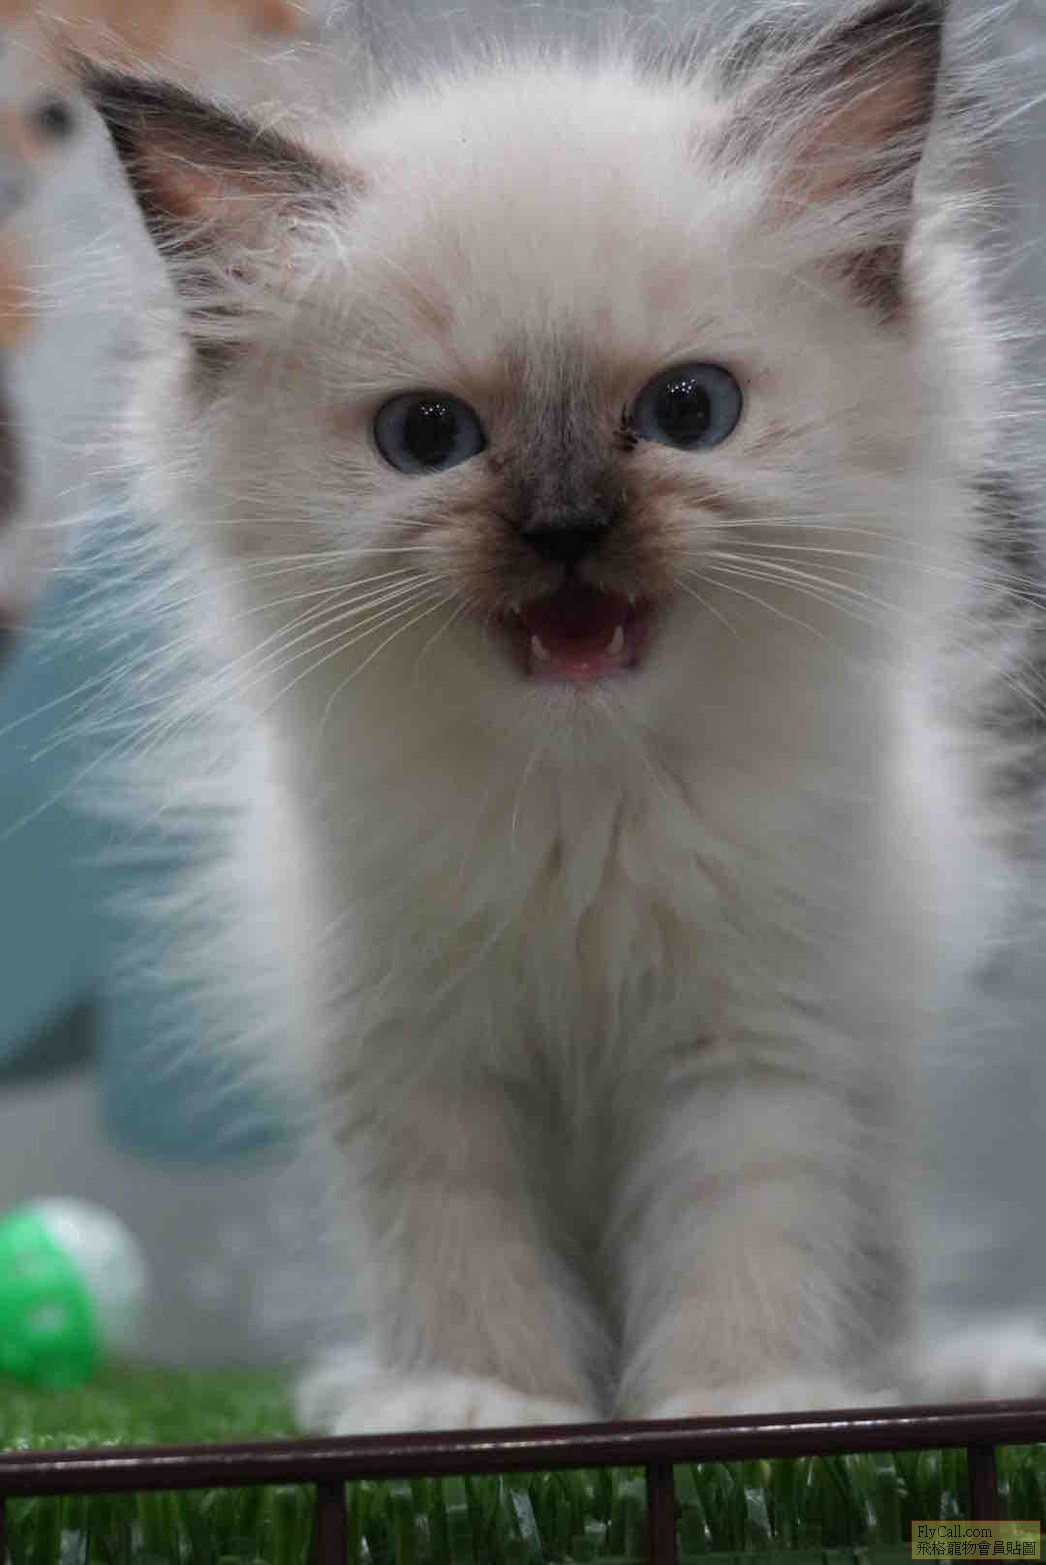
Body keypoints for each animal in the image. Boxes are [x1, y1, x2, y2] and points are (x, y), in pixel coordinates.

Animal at [80, 0, 1046, 1432]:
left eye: (689, 411)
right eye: (427, 436)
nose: (567, 530)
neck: (581, 807)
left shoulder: (752, 1037)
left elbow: (740, 1236)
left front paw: (743, 1407)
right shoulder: (421, 1055)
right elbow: (460, 1249)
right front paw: (474, 1402)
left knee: (884, 1286)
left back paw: (926, 1373)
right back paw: (358, 1383)